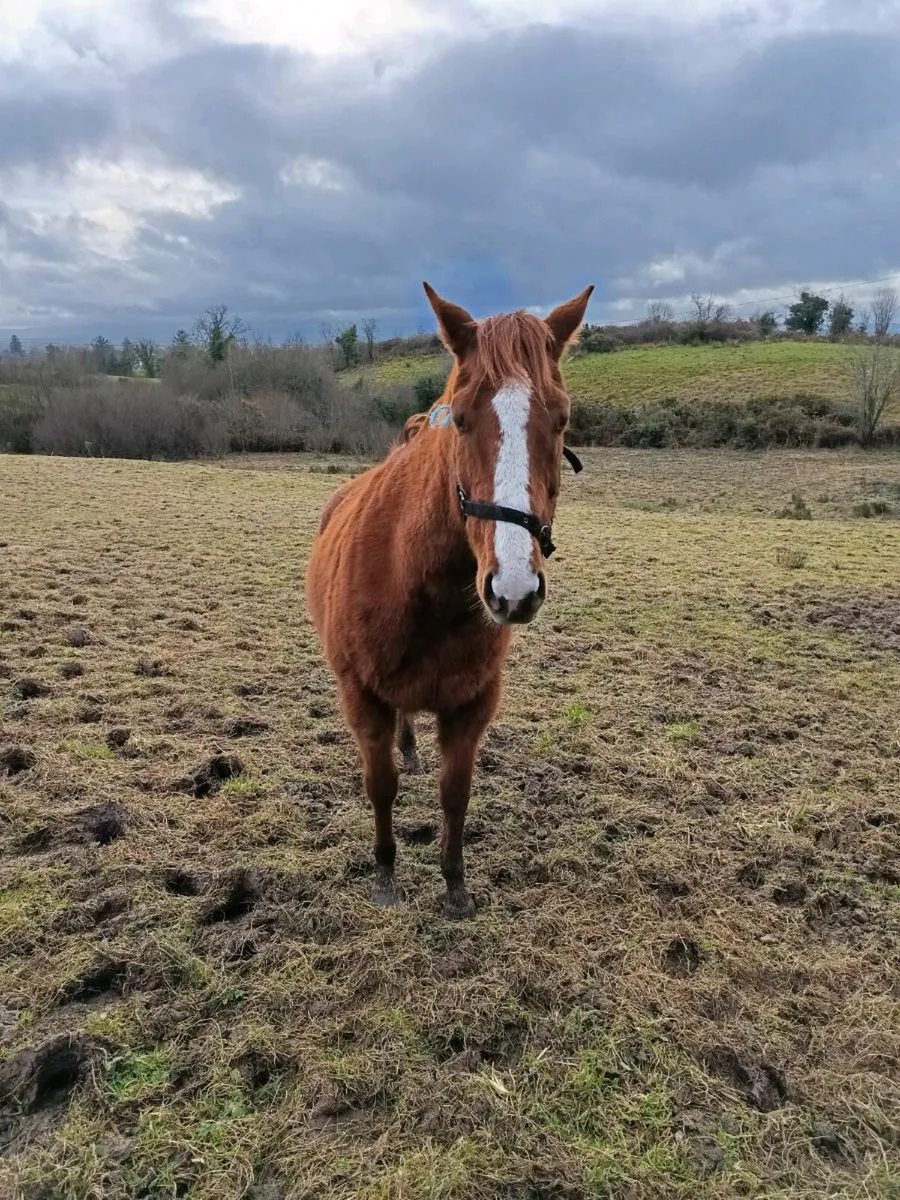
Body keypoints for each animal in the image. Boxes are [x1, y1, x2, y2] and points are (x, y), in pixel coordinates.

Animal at [305, 281, 593, 916]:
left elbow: (455, 792)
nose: (513, 589)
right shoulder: (361, 696)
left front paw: (455, 884)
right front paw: (386, 874)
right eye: (459, 420)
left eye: (561, 419)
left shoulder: (472, 704)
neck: (417, 585)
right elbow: (380, 785)